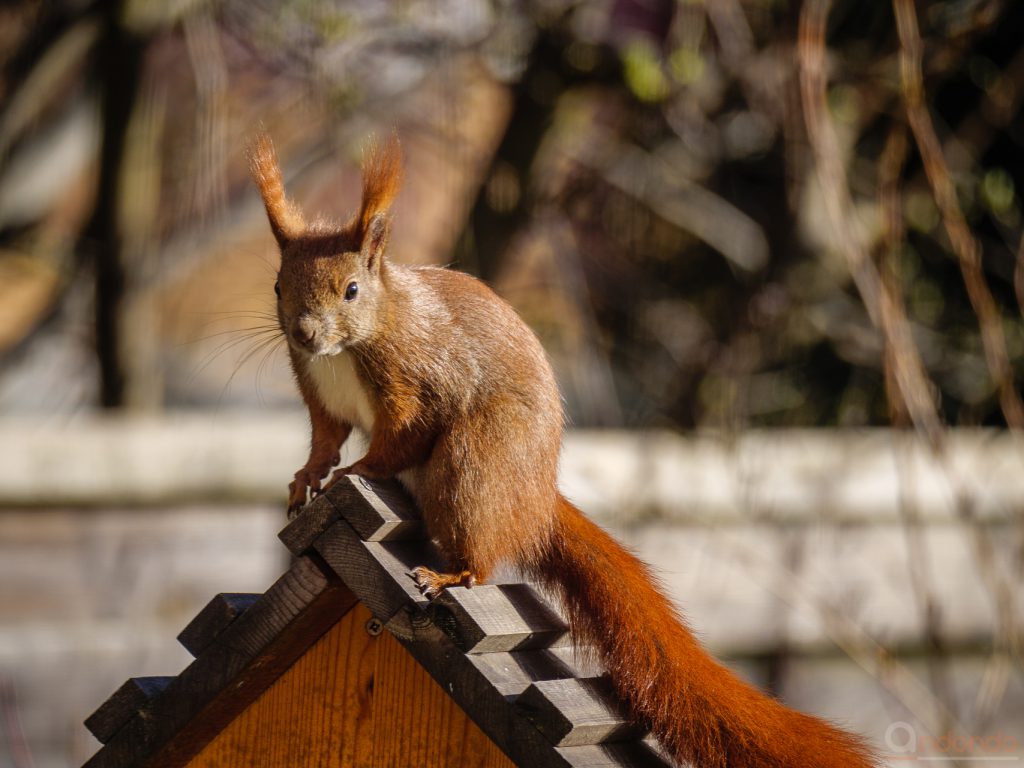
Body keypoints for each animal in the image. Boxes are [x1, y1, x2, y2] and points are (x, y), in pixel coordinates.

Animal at [245, 132, 872, 768]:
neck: (354, 344)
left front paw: (358, 470)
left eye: (352, 290)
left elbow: (401, 436)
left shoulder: (416, 381)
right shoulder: (320, 394)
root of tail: (537, 504)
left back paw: (449, 575)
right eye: (276, 286)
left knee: (478, 550)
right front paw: (306, 478)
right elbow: (324, 438)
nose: (304, 333)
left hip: (474, 465)